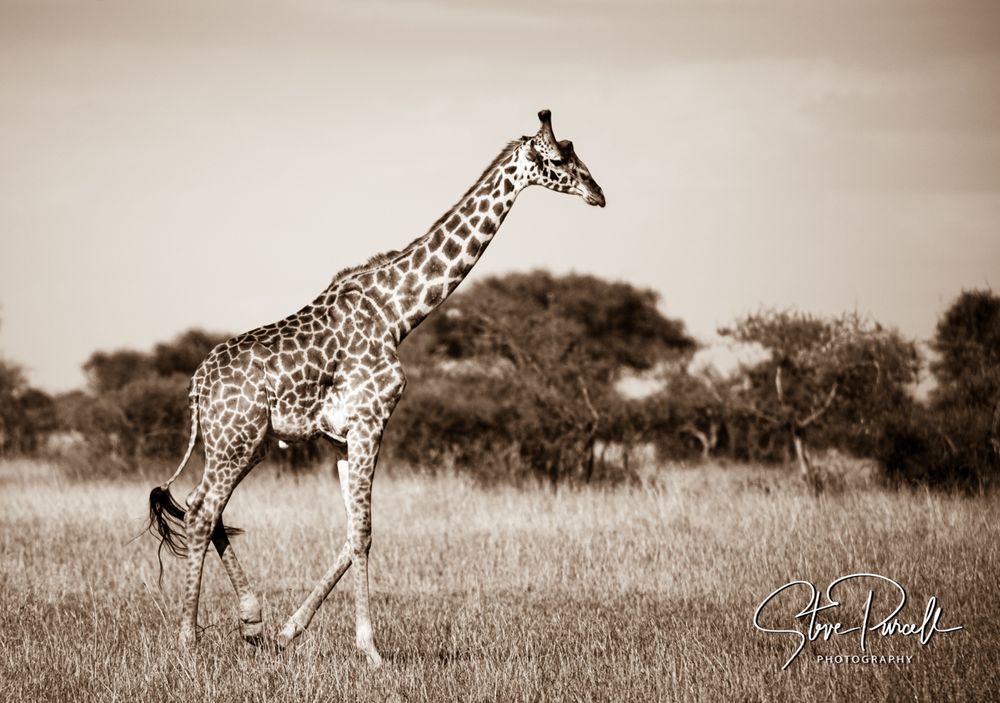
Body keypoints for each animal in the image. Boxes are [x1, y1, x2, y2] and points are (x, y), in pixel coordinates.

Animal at [146, 107, 604, 664]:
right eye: (559, 159)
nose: (598, 193)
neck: (396, 312)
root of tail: (196, 385)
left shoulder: (341, 438)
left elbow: (351, 531)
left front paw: (291, 629)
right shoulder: (371, 419)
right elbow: (363, 532)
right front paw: (372, 649)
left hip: (245, 444)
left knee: (201, 507)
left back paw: (251, 621)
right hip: (236, 440)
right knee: (201, 512)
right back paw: (188, 641)